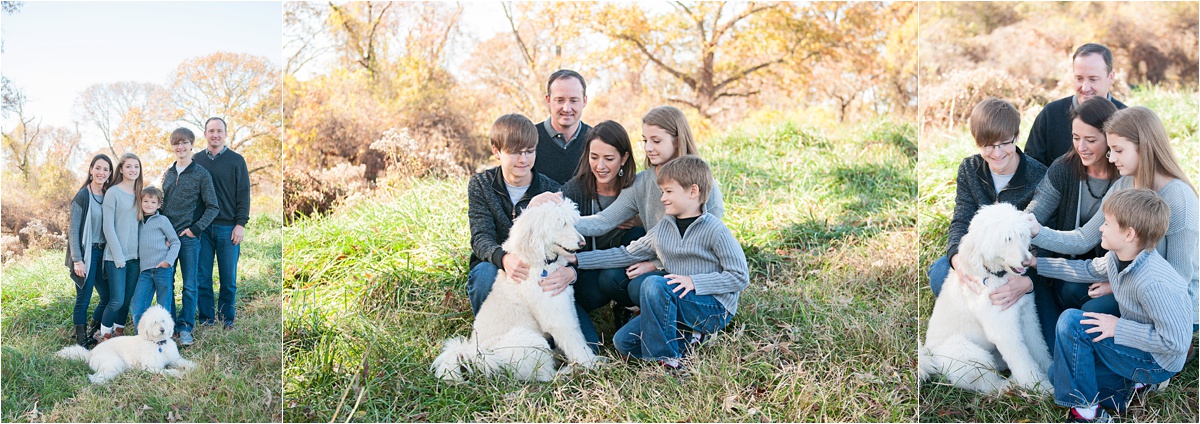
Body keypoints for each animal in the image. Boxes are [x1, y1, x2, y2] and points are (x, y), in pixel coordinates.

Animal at [56, 303, 195, 384]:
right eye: (154, 322)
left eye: (163, 320)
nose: (162, 330)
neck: (159, 344)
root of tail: (90, 353)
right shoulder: (152, 368)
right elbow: (167, 372)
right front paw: (178, 373)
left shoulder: (174, 359)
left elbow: (183, 362)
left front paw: (193, 366)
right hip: (114, 362)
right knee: (97, 377)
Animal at [432, 198, 600, 379]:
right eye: (561, 223)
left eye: (572, 222)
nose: (582, 243)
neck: (540, 262)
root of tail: (477, 354)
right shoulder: (557, 318)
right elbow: (575, 343)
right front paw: (592, 364)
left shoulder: (567, 307)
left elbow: (577, 336)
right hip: (533, 341)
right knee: (546, 376)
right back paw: (568, 371)